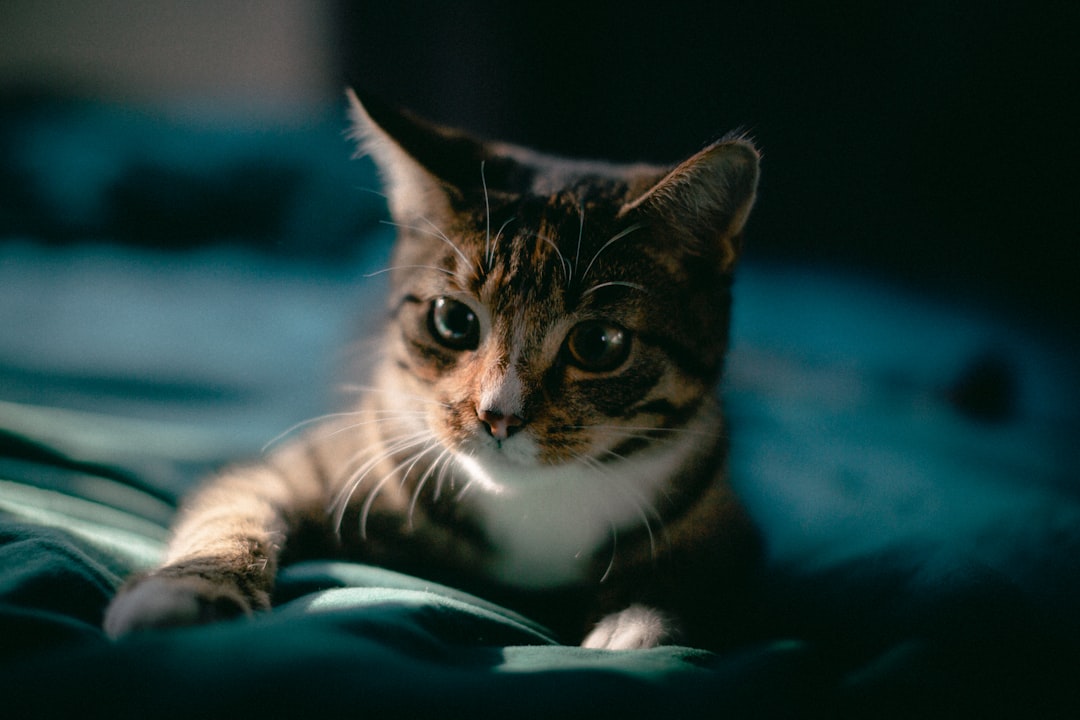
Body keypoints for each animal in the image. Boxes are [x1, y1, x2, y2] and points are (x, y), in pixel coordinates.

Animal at [101, 87, 760, 651]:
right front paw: (183, 592)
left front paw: (638, 623)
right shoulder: (307, 465)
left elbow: (702, 577)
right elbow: (233, 510)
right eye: (453, 320)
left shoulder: (727, 524)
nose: (498, 416)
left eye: (598, 343)